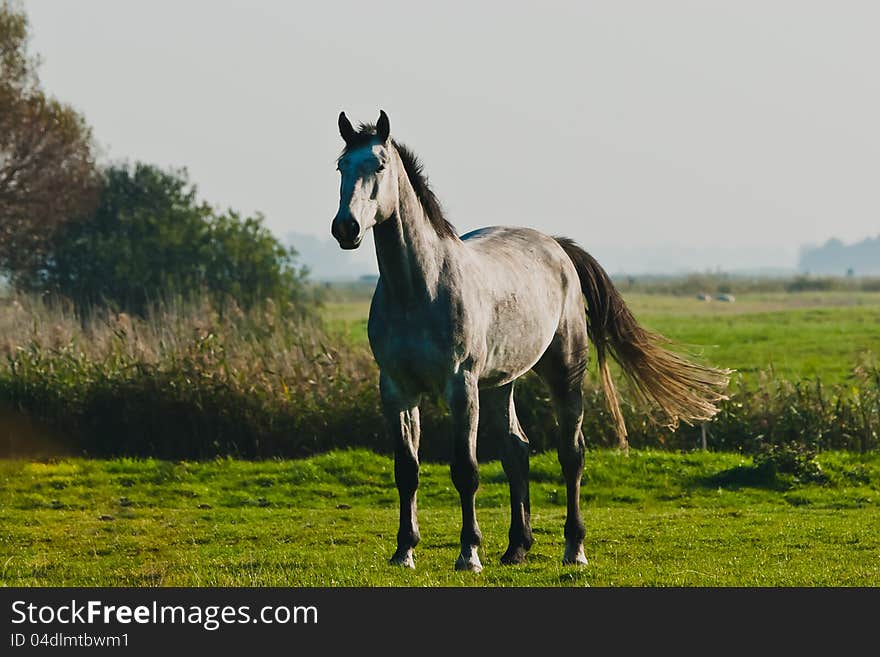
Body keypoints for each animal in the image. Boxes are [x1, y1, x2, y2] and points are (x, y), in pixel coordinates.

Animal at [330, 110, 728, 572]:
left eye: (378, 165)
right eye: (341, 167)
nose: (346, 228)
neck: (418, 288)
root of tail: (556, 245)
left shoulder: (461, 385)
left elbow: (465, 470)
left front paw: (469, 554)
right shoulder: (396, 388)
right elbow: (406, 470)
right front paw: (404, 552)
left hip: (564, 372)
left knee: (571, 453)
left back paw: (574, 549)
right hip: (500, 383)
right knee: (516, 451)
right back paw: (517, 546)